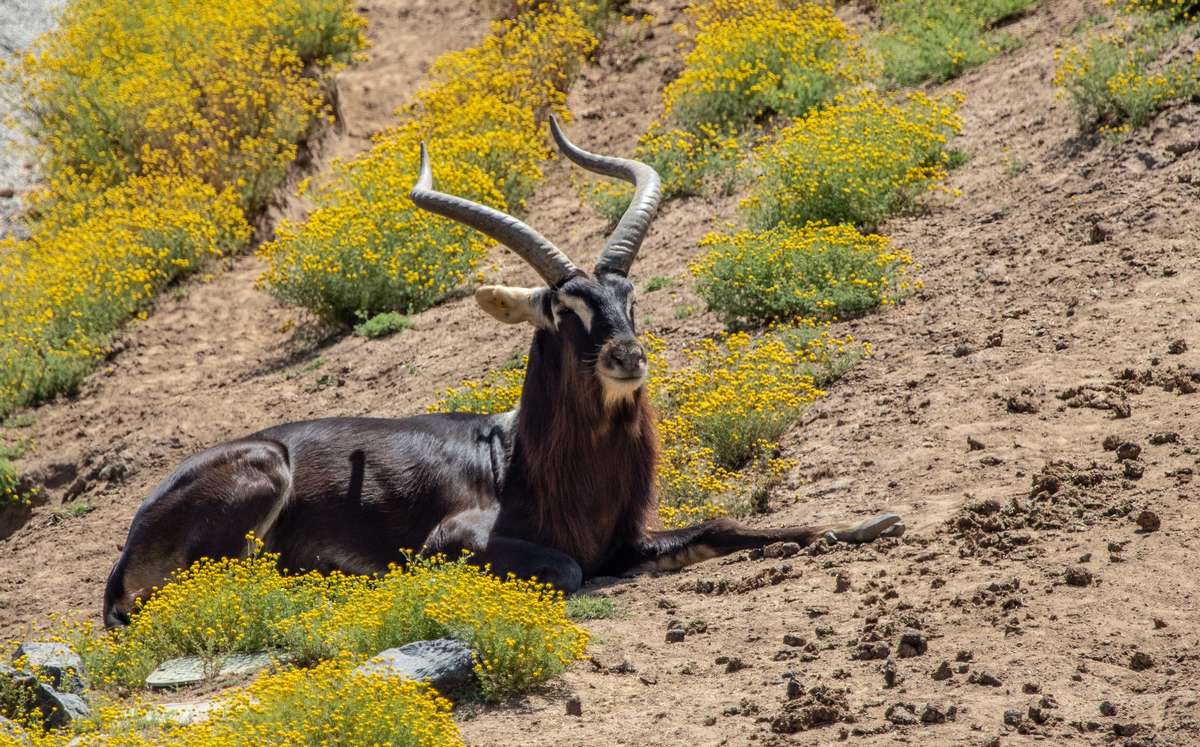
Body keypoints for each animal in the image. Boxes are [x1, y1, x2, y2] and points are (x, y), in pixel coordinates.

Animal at [103, 117, 902, 629]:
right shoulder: (461, 539)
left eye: (629, 296)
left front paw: (868, 520)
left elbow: (728, 523)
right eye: (561, 309)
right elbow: (572, 571)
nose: (626, 356)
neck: (522, 457)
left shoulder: (634, 535)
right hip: (263, 477)